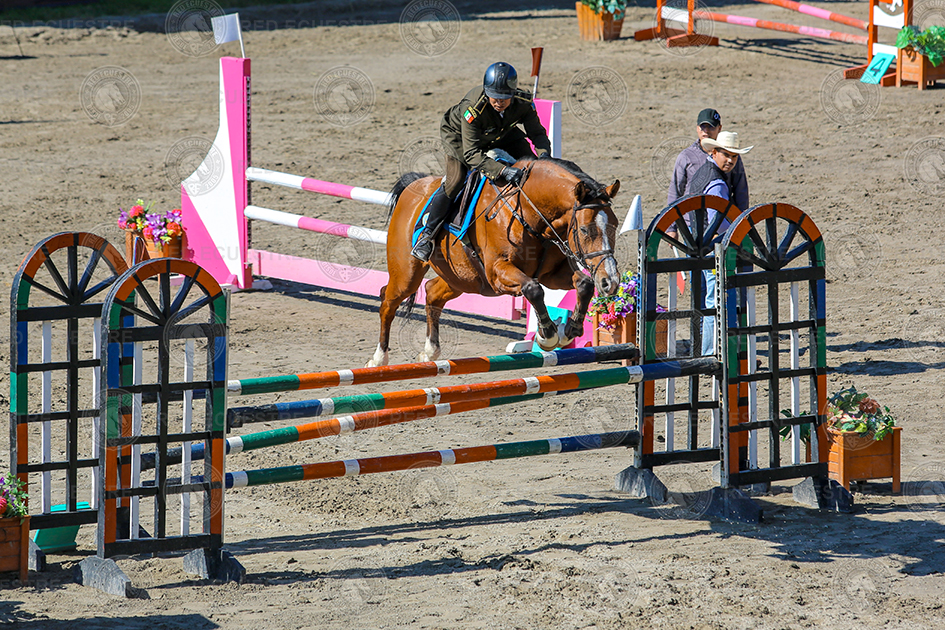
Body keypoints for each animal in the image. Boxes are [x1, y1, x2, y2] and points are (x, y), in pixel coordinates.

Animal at [367, 156, 621, 367]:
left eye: (615, 225)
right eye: (585, 230)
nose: (610, 282)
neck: (530, 214)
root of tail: (414, 186)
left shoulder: (553, 275)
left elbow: (584, 284)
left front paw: (569, 330)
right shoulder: (499, 272)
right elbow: (533, 289)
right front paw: (547, 335)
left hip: (461, 280)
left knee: (432, 293)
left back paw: (430, 351)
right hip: (408, 275)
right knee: (388, 301)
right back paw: (378, 358)